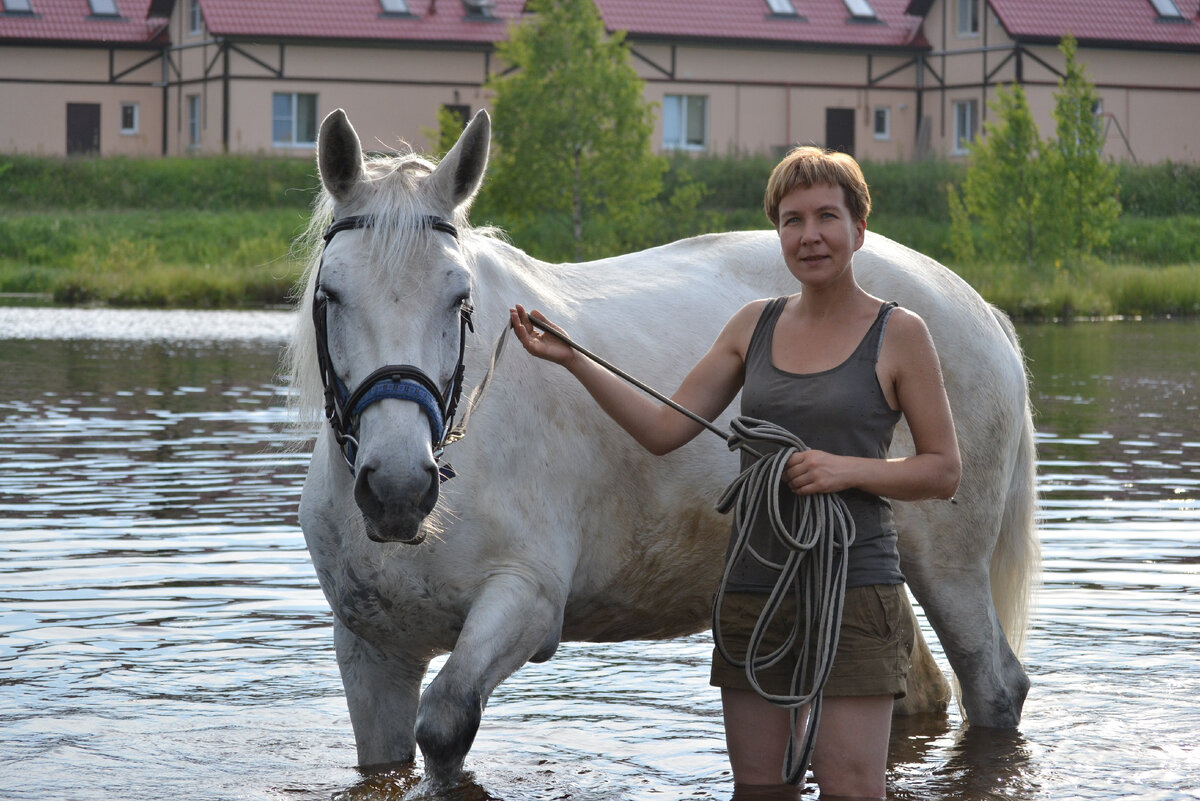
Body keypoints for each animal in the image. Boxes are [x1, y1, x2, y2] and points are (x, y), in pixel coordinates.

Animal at [285, 107, 1036, 781]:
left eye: (459, 297)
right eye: (331, 294)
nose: (398, 488)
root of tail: (977, 306)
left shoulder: (524, 603)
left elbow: (445, 722)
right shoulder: (370, 654)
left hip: (948, 569)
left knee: (996, 684)